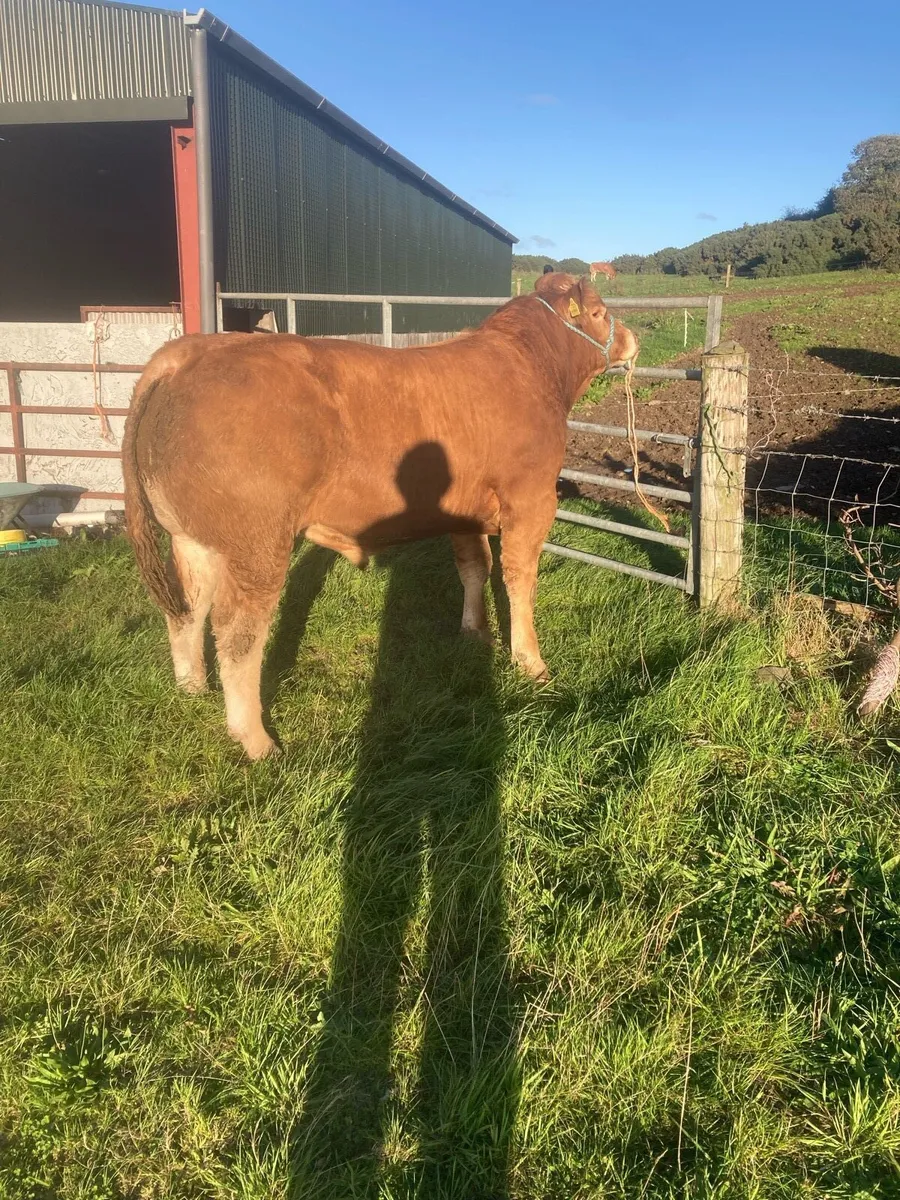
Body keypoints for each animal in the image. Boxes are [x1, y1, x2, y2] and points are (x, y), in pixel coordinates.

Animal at [122, 273, 638, 759]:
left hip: (192, 538)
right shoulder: (531, 501)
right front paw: (531, 662)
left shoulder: (464, 511)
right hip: (257, 544)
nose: (632, 339)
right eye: (598, 311)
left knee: (188, 608)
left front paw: (474, 632)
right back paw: (256, 740)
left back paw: (192, 688)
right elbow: (519, 581)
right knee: (237, 633)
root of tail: (190, 351)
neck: (533, 369)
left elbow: (474, 568)